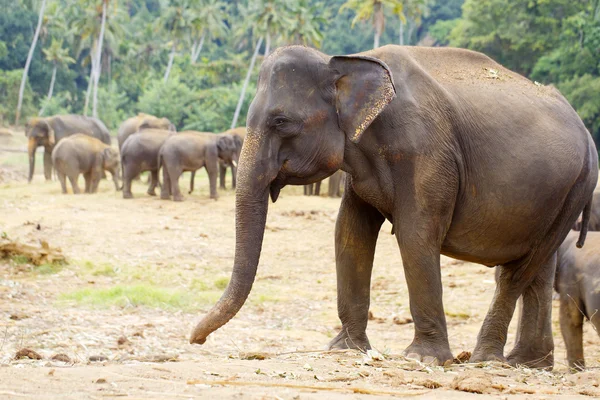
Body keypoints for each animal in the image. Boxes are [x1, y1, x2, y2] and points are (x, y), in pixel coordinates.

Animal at [190, 44, 596, 368]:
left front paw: (423, 358)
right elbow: (350, 231)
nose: (195, 339)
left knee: (517, 272)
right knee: (540, 268)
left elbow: (416, 236)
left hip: (578, 186)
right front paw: (344, 350)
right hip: (564, 191)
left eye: (281, 122)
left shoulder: (425, 151)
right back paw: (527, 363)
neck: (345, 61)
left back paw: (486, 360)